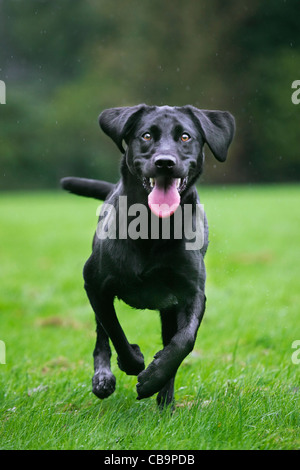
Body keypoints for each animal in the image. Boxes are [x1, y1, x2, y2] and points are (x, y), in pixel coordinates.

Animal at [60, 103, 234, 408]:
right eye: (146, 136)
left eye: (185, 137)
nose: (165, 162)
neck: (153, 226)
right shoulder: (95, 285)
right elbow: (114, 331)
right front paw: (133, 361)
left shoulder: (192, 293)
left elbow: (184, 341)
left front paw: (154, 378)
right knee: (101, 334)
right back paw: (103, 377)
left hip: (169, 308)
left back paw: (165, 399)